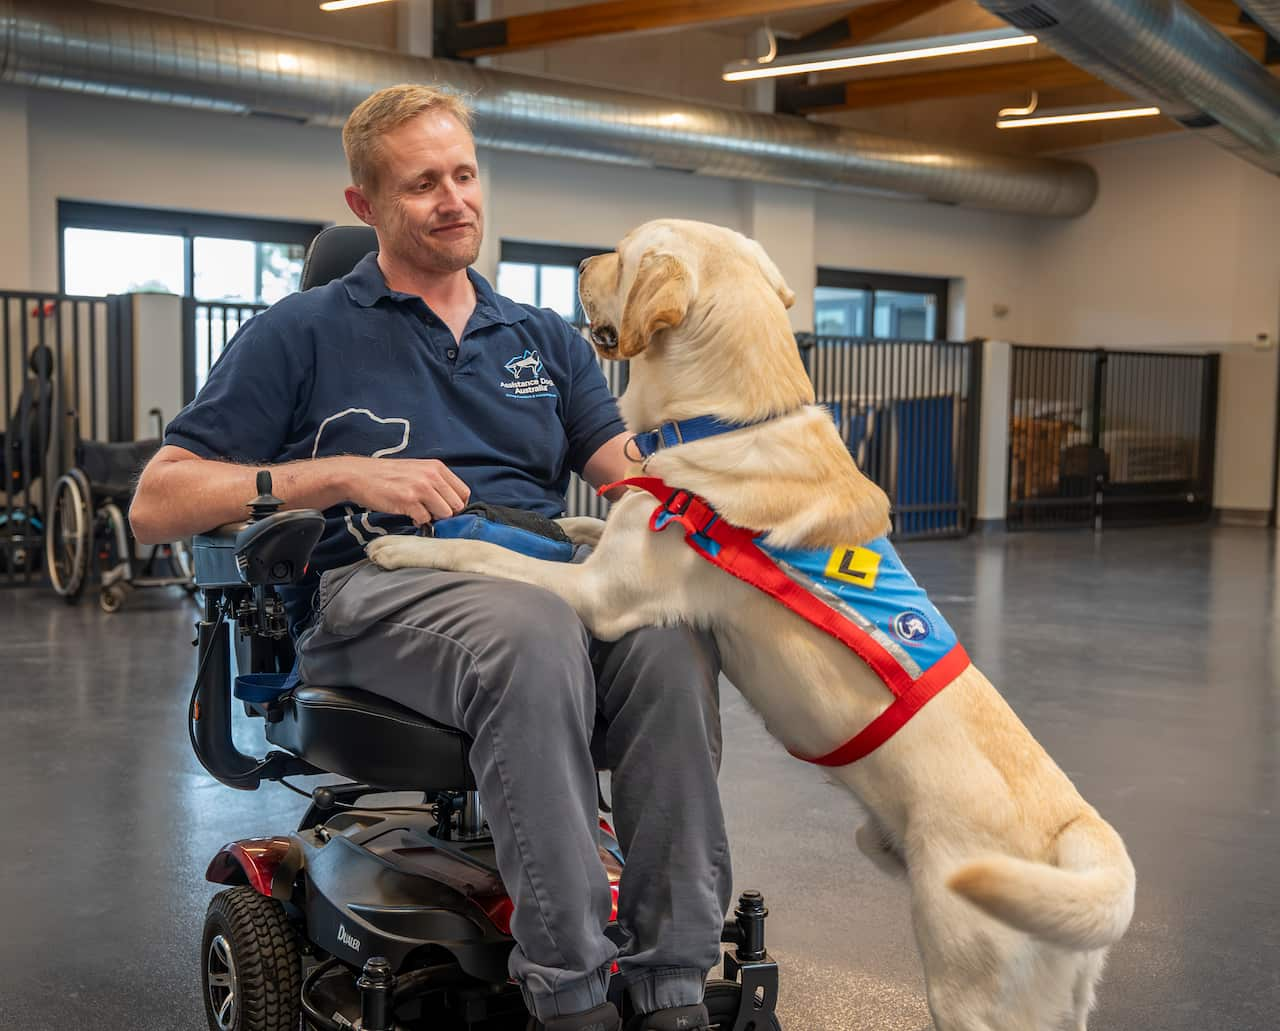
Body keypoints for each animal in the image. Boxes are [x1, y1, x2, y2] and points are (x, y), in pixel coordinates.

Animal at [366, 217, 1136, 1029]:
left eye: (624, 252)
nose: (578, 262)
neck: (725, 420)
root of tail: (1081, 836)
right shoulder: (614, 543)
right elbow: (582, 521)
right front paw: (551, 517)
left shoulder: (602, 593)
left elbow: (485, 549)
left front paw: (409, 545)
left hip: (972, 991)